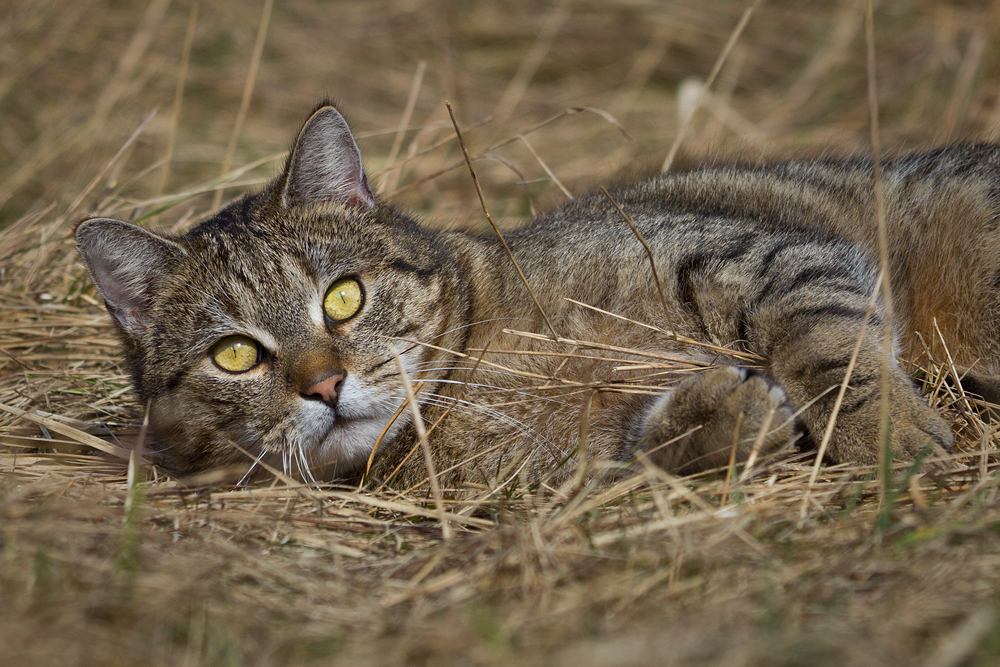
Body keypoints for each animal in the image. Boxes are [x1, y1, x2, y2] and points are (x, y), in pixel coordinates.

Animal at [74, 102, 980, 488]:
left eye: (343, 299)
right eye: (235, 355)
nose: (326, 385)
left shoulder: (753, 254)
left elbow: (829, 351)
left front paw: (887, 438)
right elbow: (645, 451)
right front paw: (718, 422)